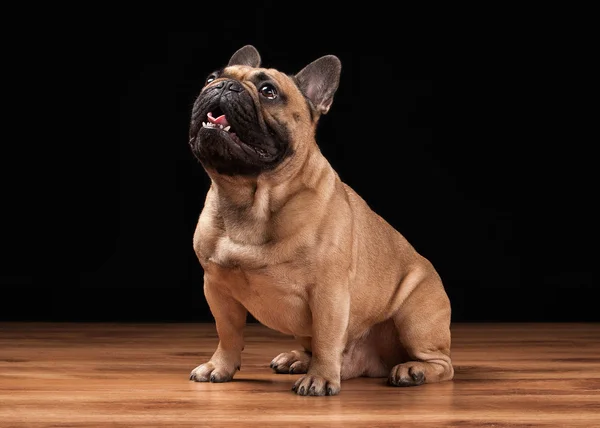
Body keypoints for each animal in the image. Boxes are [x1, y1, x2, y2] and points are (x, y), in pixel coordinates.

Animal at [186, 45, 450, 396]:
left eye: (268, 92)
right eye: (210, 78)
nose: (224, 86)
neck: (250, 197)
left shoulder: (329, 293)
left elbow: (327, 337)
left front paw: (321, 378)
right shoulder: (217, 288)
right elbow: (227, 333)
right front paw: (220, 367)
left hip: (415, 317)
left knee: (442, 364)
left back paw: (411, 370)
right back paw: (297, 359)